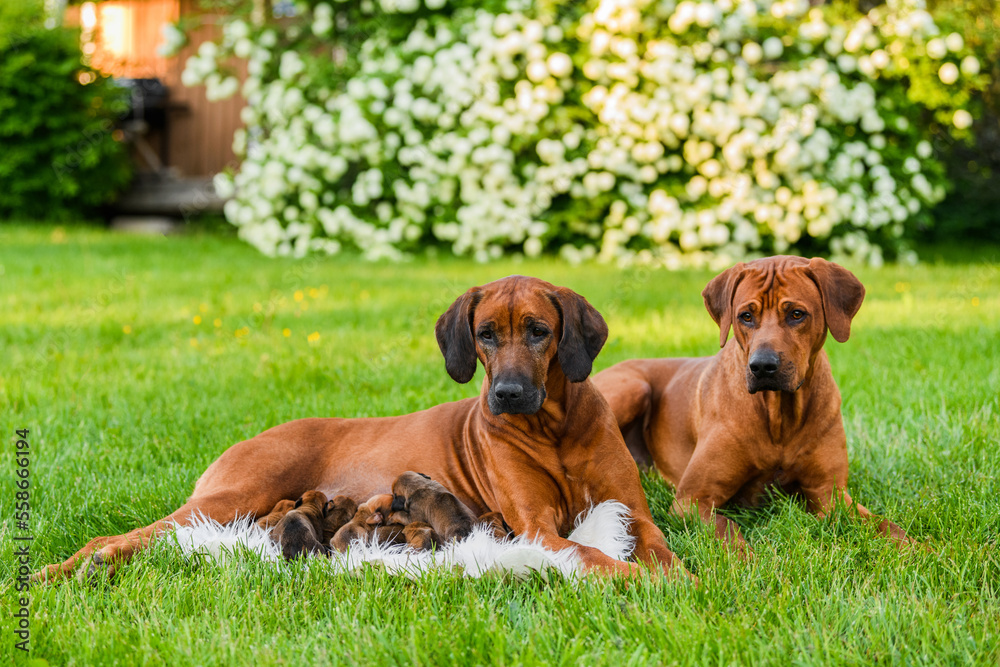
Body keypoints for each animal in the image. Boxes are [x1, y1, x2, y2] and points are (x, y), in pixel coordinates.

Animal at [33, 274, 688, 580]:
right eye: (485, 335)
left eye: (539, 331)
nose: (506, 395)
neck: (555, 431)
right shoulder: (537, 530)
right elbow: (594, 555)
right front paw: (640, 582)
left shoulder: (634, 514)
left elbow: (664, 550)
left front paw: (690, 582)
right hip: (230, 497)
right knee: (122, 537)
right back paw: (63, 570)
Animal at [592, 256, 916, 552]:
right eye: (746, 316)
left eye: (797, 314)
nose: (762, 366)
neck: (779, 415)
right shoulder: (692, 500)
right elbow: (727, 529)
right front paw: (744, 561)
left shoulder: (829, 492)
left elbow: (884, 524)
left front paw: (918, 548)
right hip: (633, 387)